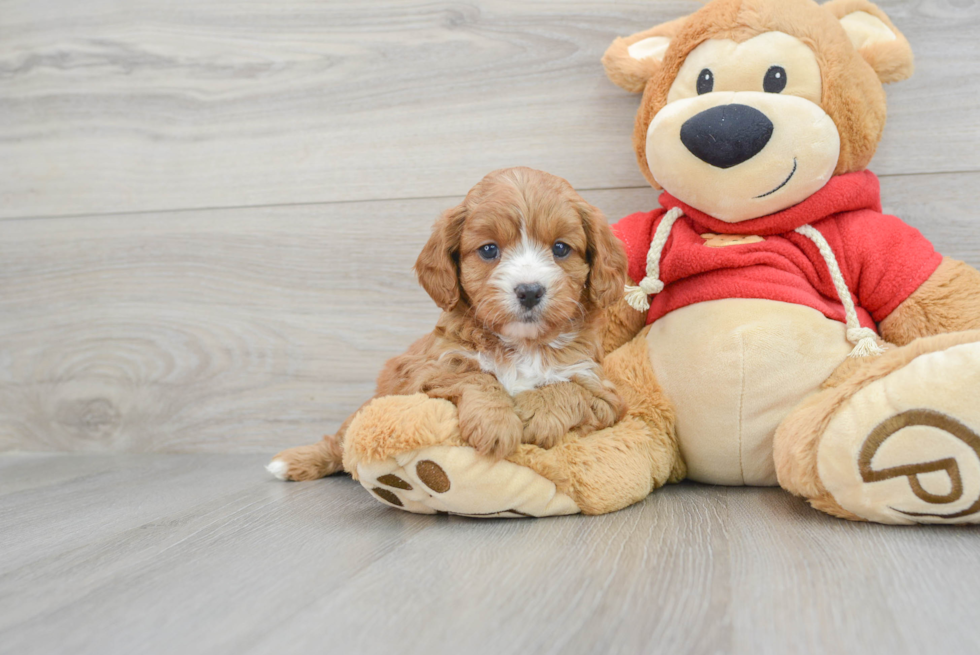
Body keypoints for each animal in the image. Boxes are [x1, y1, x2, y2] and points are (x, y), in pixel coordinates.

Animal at [268, 167, 628, 480]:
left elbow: (568, 387)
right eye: (489, 249)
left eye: (560, 248)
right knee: (339, 443)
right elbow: (475, 376)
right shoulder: (426, 371)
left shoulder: (603, 393)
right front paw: (496, 423)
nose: (529, 291)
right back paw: (291, 463)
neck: (522, 344)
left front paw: (538, 411)